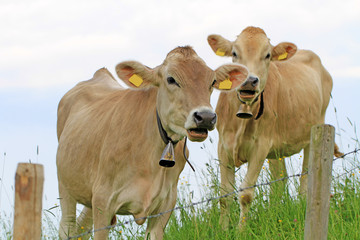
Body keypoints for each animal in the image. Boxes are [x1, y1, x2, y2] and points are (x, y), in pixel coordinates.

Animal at [56, 46, 249, 239]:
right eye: (171, 79)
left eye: (212, 81)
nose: (206, 117)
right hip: (65, 187)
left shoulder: (165, 205)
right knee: (67, 227)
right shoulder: (103, 201)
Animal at [207, 26, 342, 229]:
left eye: (268, 55)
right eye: (234, 53)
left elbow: (246, 194)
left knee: (305, 177)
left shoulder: (260, 146)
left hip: (314, 132)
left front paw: (240, 231)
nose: (249, 81)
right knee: (280, 180)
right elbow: (225, 195)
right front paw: (223, 230)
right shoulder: (223, 146)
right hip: (276, 150)